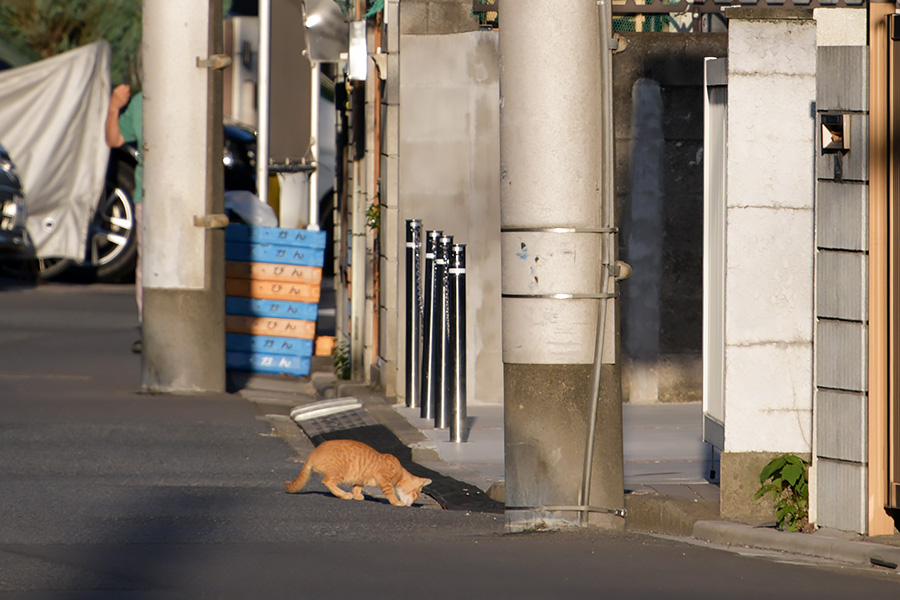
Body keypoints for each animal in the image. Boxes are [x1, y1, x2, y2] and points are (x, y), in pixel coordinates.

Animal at [284, 436, 432, 506]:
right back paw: (343, 494)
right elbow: (390, 492)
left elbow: (357, 487)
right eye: (416, 495)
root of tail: (313, 454)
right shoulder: (384, 480)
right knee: (327, 481)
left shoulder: (361, 478)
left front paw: (357, 495)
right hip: (339, 471)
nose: (411, 504)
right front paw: (396, 502)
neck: (400, 471)